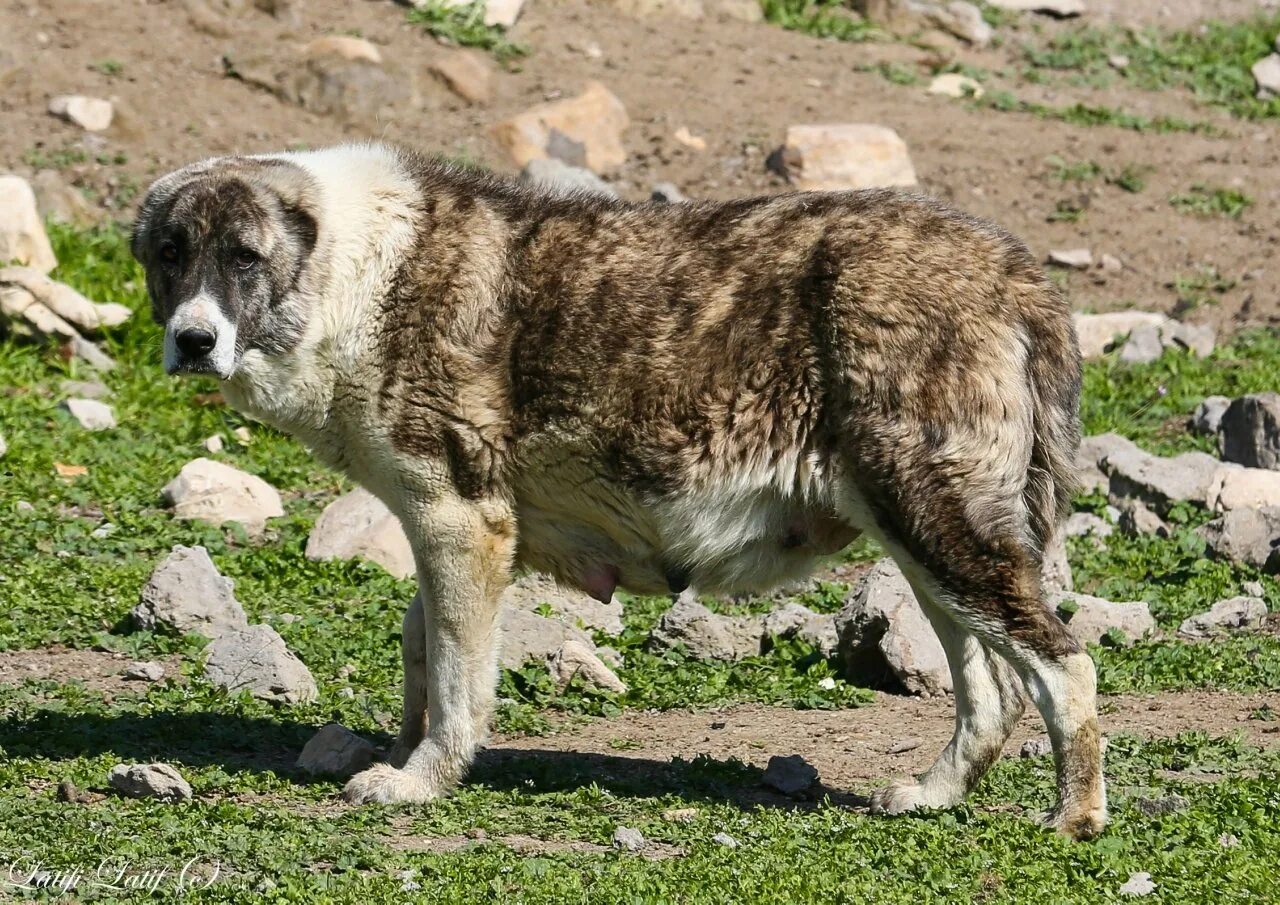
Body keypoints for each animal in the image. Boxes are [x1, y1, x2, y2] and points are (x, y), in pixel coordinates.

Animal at [132, 143, 1111, 844]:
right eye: (172, 255)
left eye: (245, 258)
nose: (192, 340)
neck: (354, 272)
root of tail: (1014, 272)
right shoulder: (440, 528)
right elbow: (421, 649)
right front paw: (405, 752)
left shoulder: (461, 522)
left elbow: (455, 676)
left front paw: (421, 779)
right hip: (927, 545)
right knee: (992, 691)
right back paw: (936, 794)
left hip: (938, 526)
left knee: (1066, 663)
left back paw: (1075, 816)